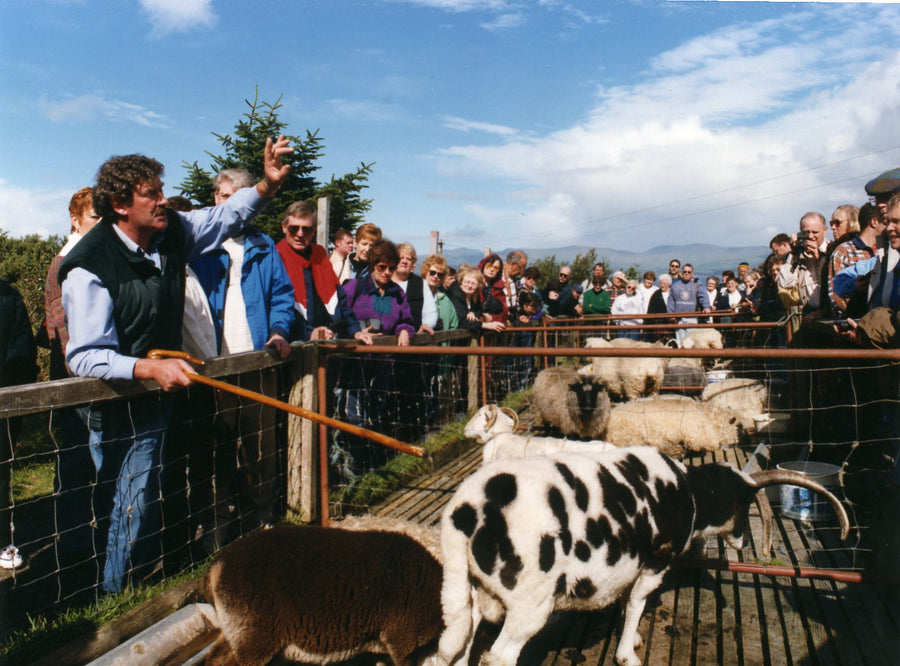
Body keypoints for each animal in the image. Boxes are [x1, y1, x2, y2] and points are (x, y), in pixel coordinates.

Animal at [432, 444, 848, 664]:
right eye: (745, 502)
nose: (744, 542)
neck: (689, 493)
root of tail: (466, 513)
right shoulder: (656, 562)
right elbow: (636, 604)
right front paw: (627, 654)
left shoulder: (625, 566)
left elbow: (623, 601)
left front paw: (629, 641)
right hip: (529, 603)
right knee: (500, 655)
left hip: (468, 594)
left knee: (458, 650)